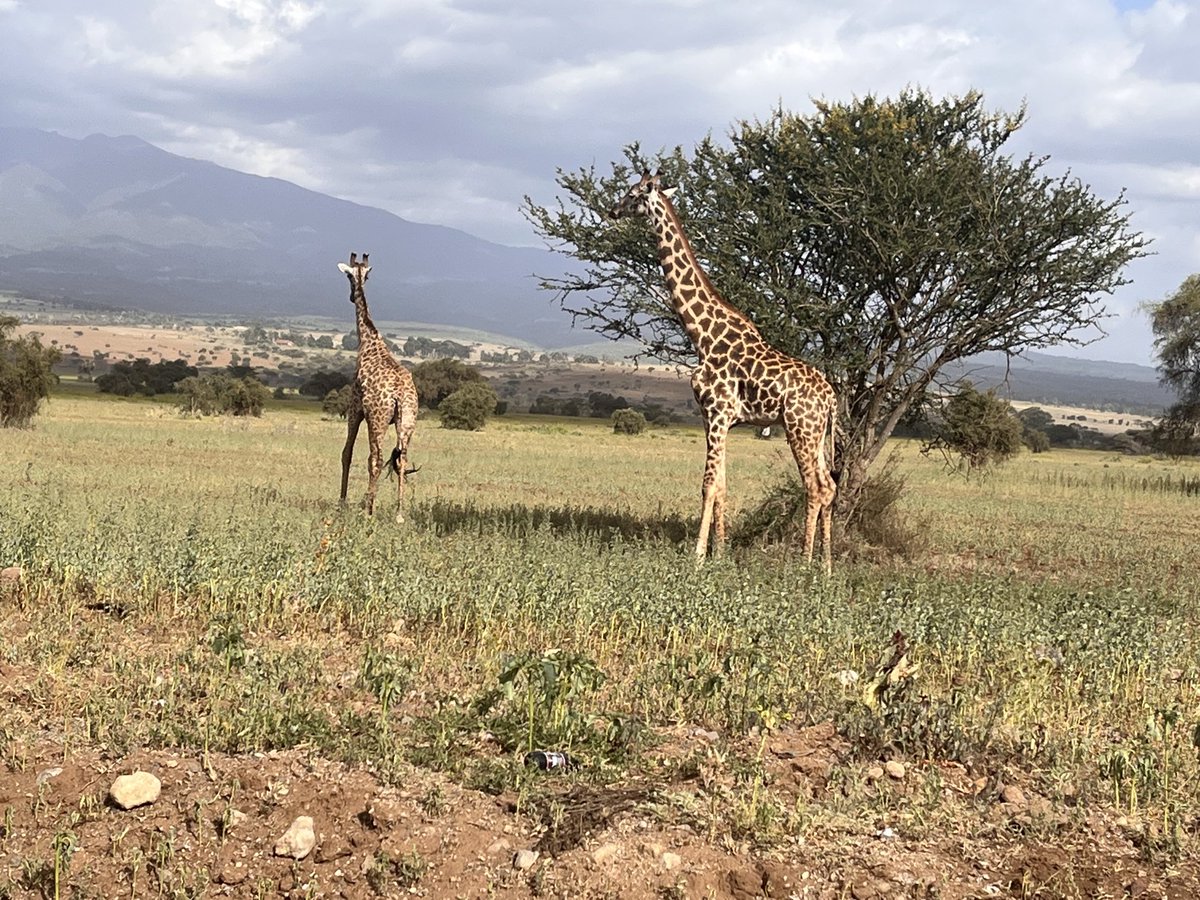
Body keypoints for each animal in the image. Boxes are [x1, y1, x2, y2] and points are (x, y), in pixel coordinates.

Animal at [337, 252, 420, 522]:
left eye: (348, 276)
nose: (351, 296)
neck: (369, 341)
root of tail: (400, 395)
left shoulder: (355, 408)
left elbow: (347, 453)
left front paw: (342, 503)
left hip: (378, 417)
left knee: (377, 457)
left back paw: (367, 509)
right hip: (407, 421)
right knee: (402, 459)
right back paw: (399, 513)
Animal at [610, 171, 838, 573]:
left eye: (633, 193)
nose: (611, 210)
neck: (703, 335)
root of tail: (831, 397)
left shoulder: (716, 412)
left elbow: (707, 484)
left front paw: (698, 556)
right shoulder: (717, 418)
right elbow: (722, 485)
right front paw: (721, 552)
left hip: (800, 428)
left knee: (816, 487)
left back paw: (801, 564)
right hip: (817, 433)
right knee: (830, 486)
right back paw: (826, 567)